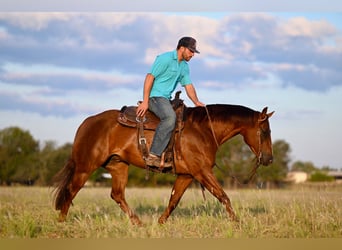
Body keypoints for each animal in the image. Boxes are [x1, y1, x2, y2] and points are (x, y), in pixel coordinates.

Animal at [53, 102, 274, 225]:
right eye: (265, 131)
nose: (269, 159)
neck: (203, 129)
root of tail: (87, 123)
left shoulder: (186, 175)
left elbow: (173, 201)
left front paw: (160, 224)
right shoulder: (202, 172)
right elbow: (224, 197)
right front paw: (239, 224)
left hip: (118, 166)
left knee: (117, 195)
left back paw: (139, 224)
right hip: (85, 167)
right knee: (70, 191)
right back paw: (62, 223)